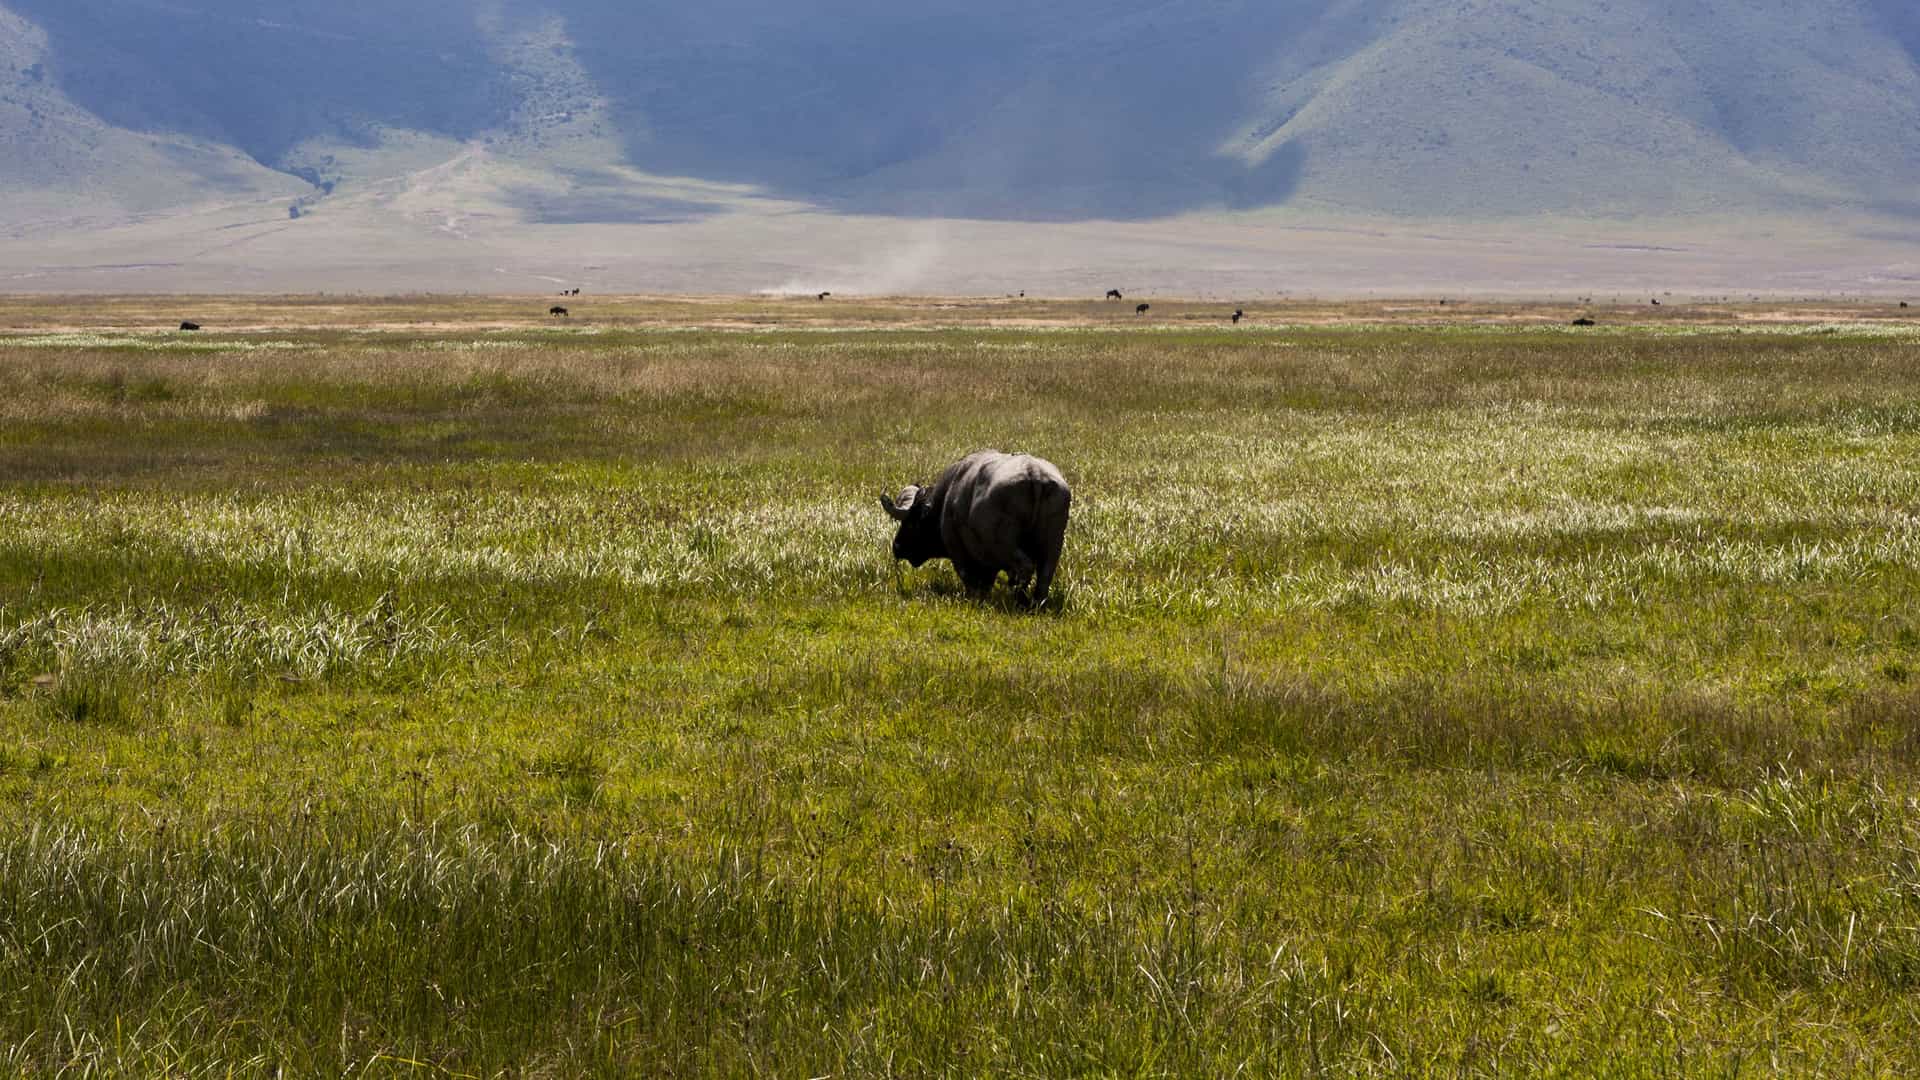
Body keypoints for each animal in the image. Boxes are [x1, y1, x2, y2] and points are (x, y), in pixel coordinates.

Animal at [880, 451, 1071, 607]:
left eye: (911, 523)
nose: (896, 547)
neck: (945, 500)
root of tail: (1034, 473)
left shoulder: (958, 551)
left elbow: (970, 578)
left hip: (1003, 543)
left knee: (1025, 567)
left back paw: (1020, 600)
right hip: (1053, 544)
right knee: (1044, 575)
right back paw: (1037, 604)